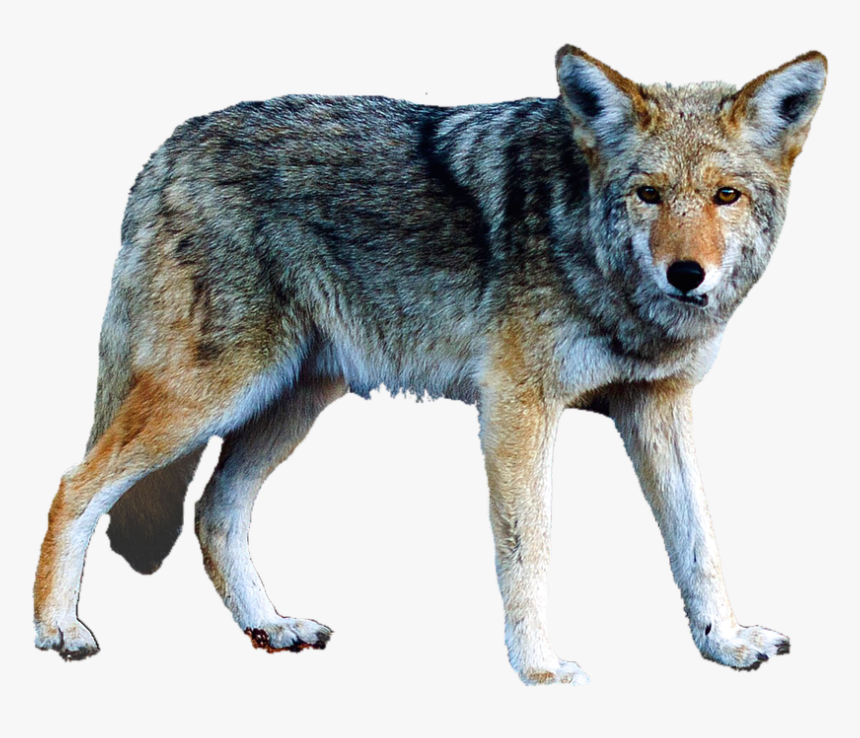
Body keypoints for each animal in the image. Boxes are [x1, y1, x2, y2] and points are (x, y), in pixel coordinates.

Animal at [34, 45, 826, 684]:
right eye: (649, 194)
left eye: (725, 196)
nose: (686, 274)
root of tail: (168, 147)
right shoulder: (517, 407)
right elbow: (529, 547)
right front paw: (539, 669)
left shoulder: (659, 406)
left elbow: (699, 543)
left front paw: (724, 643)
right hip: (213, 396)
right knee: (76, 486)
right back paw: (59, 630)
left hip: (286, 405)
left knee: (213, 512)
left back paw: (271, 626)